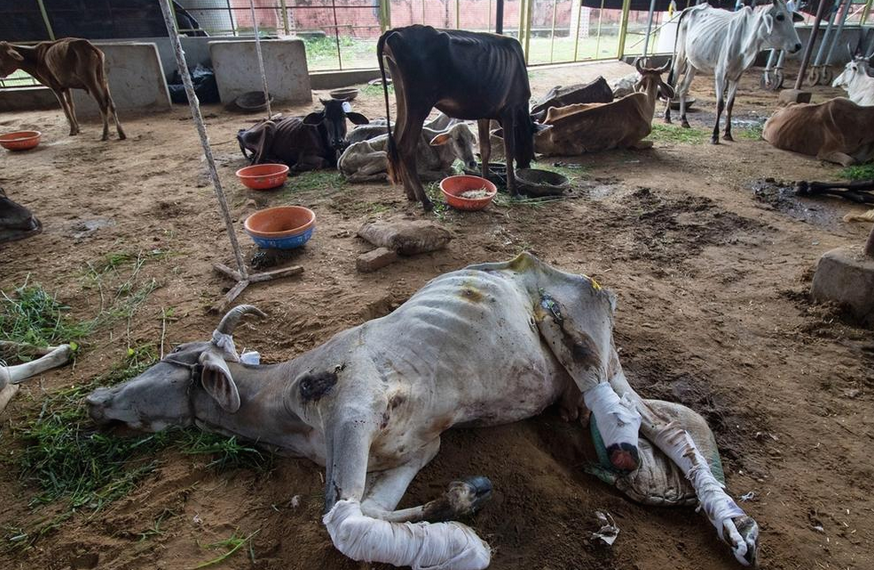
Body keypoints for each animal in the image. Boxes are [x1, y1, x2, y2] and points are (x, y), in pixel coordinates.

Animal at [87, 253, 756, 568]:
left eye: (170, 358)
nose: (94, 401)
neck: (288, 402)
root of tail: (582, 278)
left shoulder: (355, 404)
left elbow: (342, 523)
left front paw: (464, 545)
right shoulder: (413, 449)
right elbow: (373, 512)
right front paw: (461, 502)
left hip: (583, 338)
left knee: (650, 424)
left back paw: (720, 517)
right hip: (598, 367)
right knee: (659, 428)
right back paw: (731, 524)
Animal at [237, 98, 366, 169]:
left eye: (344, 116)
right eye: (325, 117)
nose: (337, 142)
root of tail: (242, 132)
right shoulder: (304, 155)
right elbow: (323, 161)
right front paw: (296, 166)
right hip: (269, 126)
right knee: (256, 162)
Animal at [338, 123, 476, 183]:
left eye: (471, 138)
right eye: (458, 140)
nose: (473, 163)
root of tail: (342, 158)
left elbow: (452, 170)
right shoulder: (417, 170)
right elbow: (443, 174)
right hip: (383, 157)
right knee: (353, 177)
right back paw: (383, 176)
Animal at [376, 25, 540, 210]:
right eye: (531, 141)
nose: (526, 165)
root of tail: (396, 30)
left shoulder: (484, 113)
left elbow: (485, 149)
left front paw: (486, 181)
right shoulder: (509, 110)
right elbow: (509, 150)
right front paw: (514, 190)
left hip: (403, 98)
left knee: (395, 142)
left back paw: (410, 193)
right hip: (420, 103)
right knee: (405, 146)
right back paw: (425, 200)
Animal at [664, 0, 800, 142]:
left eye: (792, 17)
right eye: (780, 17)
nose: (798, 45)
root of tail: (691, 8)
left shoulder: (737, 75)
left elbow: (730, 104)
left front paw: (728, 133)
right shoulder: (720, 73)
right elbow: (720, 104)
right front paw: (715, 135)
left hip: (693, 62)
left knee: (683, 87)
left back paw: (684, 120)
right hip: (681, 54)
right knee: (673, 83)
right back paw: (667, 116)